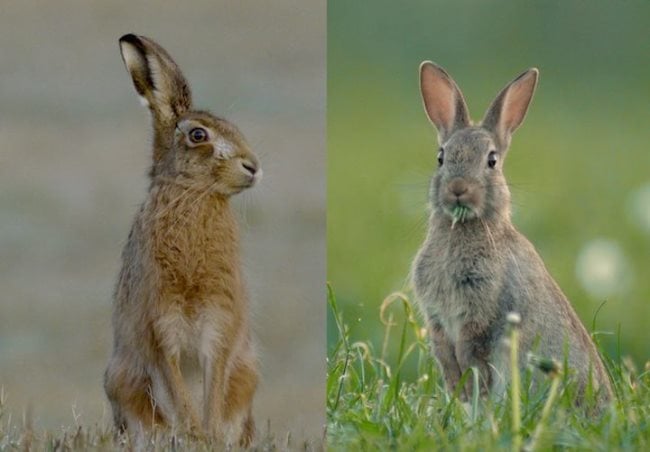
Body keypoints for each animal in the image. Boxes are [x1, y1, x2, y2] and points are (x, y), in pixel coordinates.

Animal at [412, 61, 612, 402]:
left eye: (492, 160)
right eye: (441, 157)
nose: (458, 189)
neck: (466, 227)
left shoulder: (482, 313)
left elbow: (468, 350)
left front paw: (468, 392)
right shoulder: (437, 318)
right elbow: (445, 353)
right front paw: (458, 392)